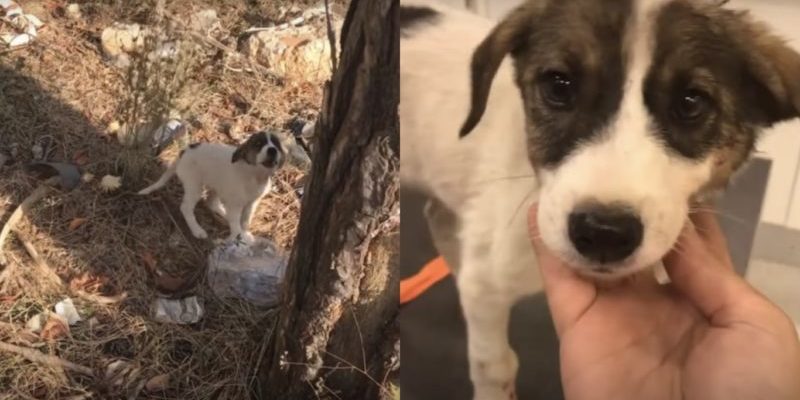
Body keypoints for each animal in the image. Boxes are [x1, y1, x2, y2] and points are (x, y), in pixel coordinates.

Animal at [139, 133, 286, 242]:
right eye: (258, 144)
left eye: (277, 146)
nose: (272, 150)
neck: (255, 175)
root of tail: (185, 151)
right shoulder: (235, 204)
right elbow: (235, 223)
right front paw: (237, 237)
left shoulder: (252, 203)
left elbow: (245, 221)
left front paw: (245, 234)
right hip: (195, 185)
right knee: (186, 207)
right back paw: (197, 230)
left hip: (216, 185)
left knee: (211, 203)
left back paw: (222, 214)